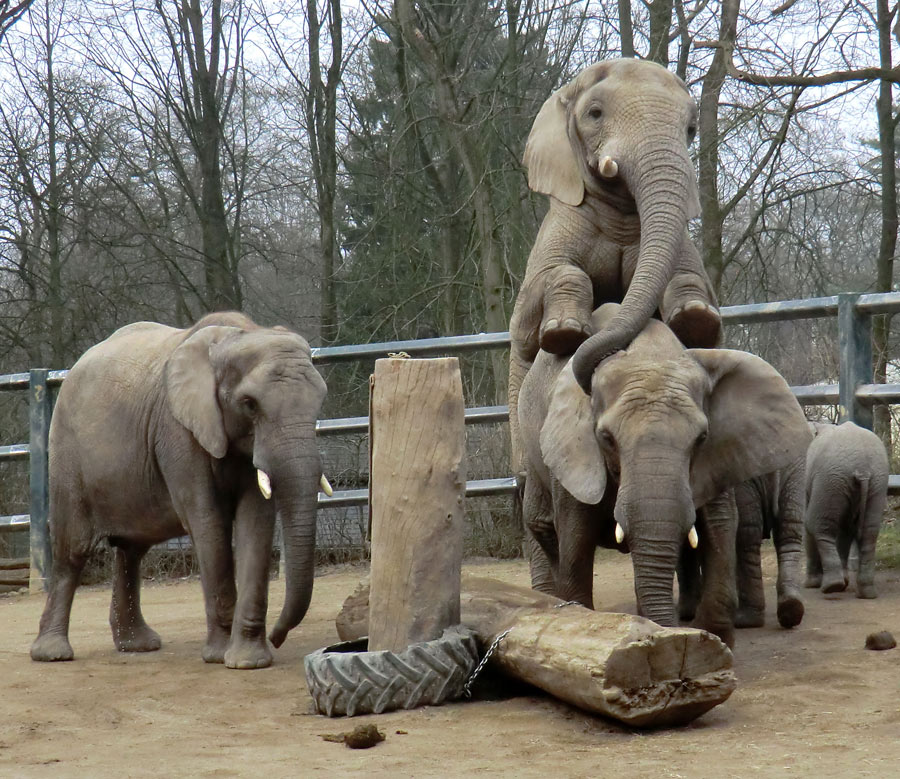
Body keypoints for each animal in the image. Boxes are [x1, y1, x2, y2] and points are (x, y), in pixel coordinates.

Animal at [29, 312, 328, 672]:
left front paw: (248, 662)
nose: (278, 637)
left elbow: (255, 523)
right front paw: (219, 656)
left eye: (321, 400)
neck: (238, 336)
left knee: (131, 550)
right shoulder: (177, 431)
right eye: (249, 404)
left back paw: (138, 646)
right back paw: (53, 654)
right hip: (66, 451)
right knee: (72, 549)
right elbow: (207, 521)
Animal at [804, 420, 888, 596]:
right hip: (877, 481)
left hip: (830, 480)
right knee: (868, 532)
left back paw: (832, 587)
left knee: (817, 525)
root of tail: (863, 469)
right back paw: (866, 593)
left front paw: (810, 585)